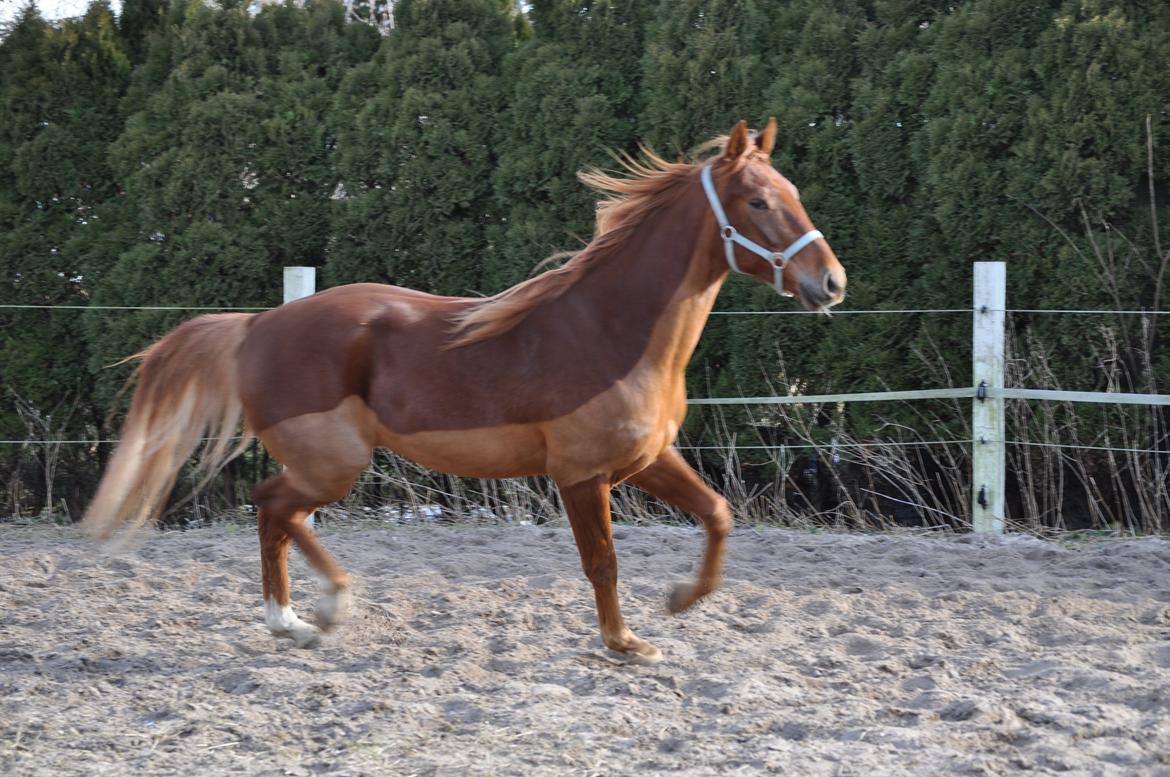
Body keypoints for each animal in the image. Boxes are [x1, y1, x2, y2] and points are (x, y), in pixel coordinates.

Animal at [84, 119, 851, 659]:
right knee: (271, 505)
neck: (610, 327)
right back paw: (317, 611)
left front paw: (679, 600)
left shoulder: (645, 459)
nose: (832, 283)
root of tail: (255, 326)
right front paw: (624, 643)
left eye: (794, 195)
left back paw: (302, 620)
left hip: (326, 463)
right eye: (758, 201)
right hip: (333, 462)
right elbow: (601, 562)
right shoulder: (581, 475)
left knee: (277, 514)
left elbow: (718, 514)